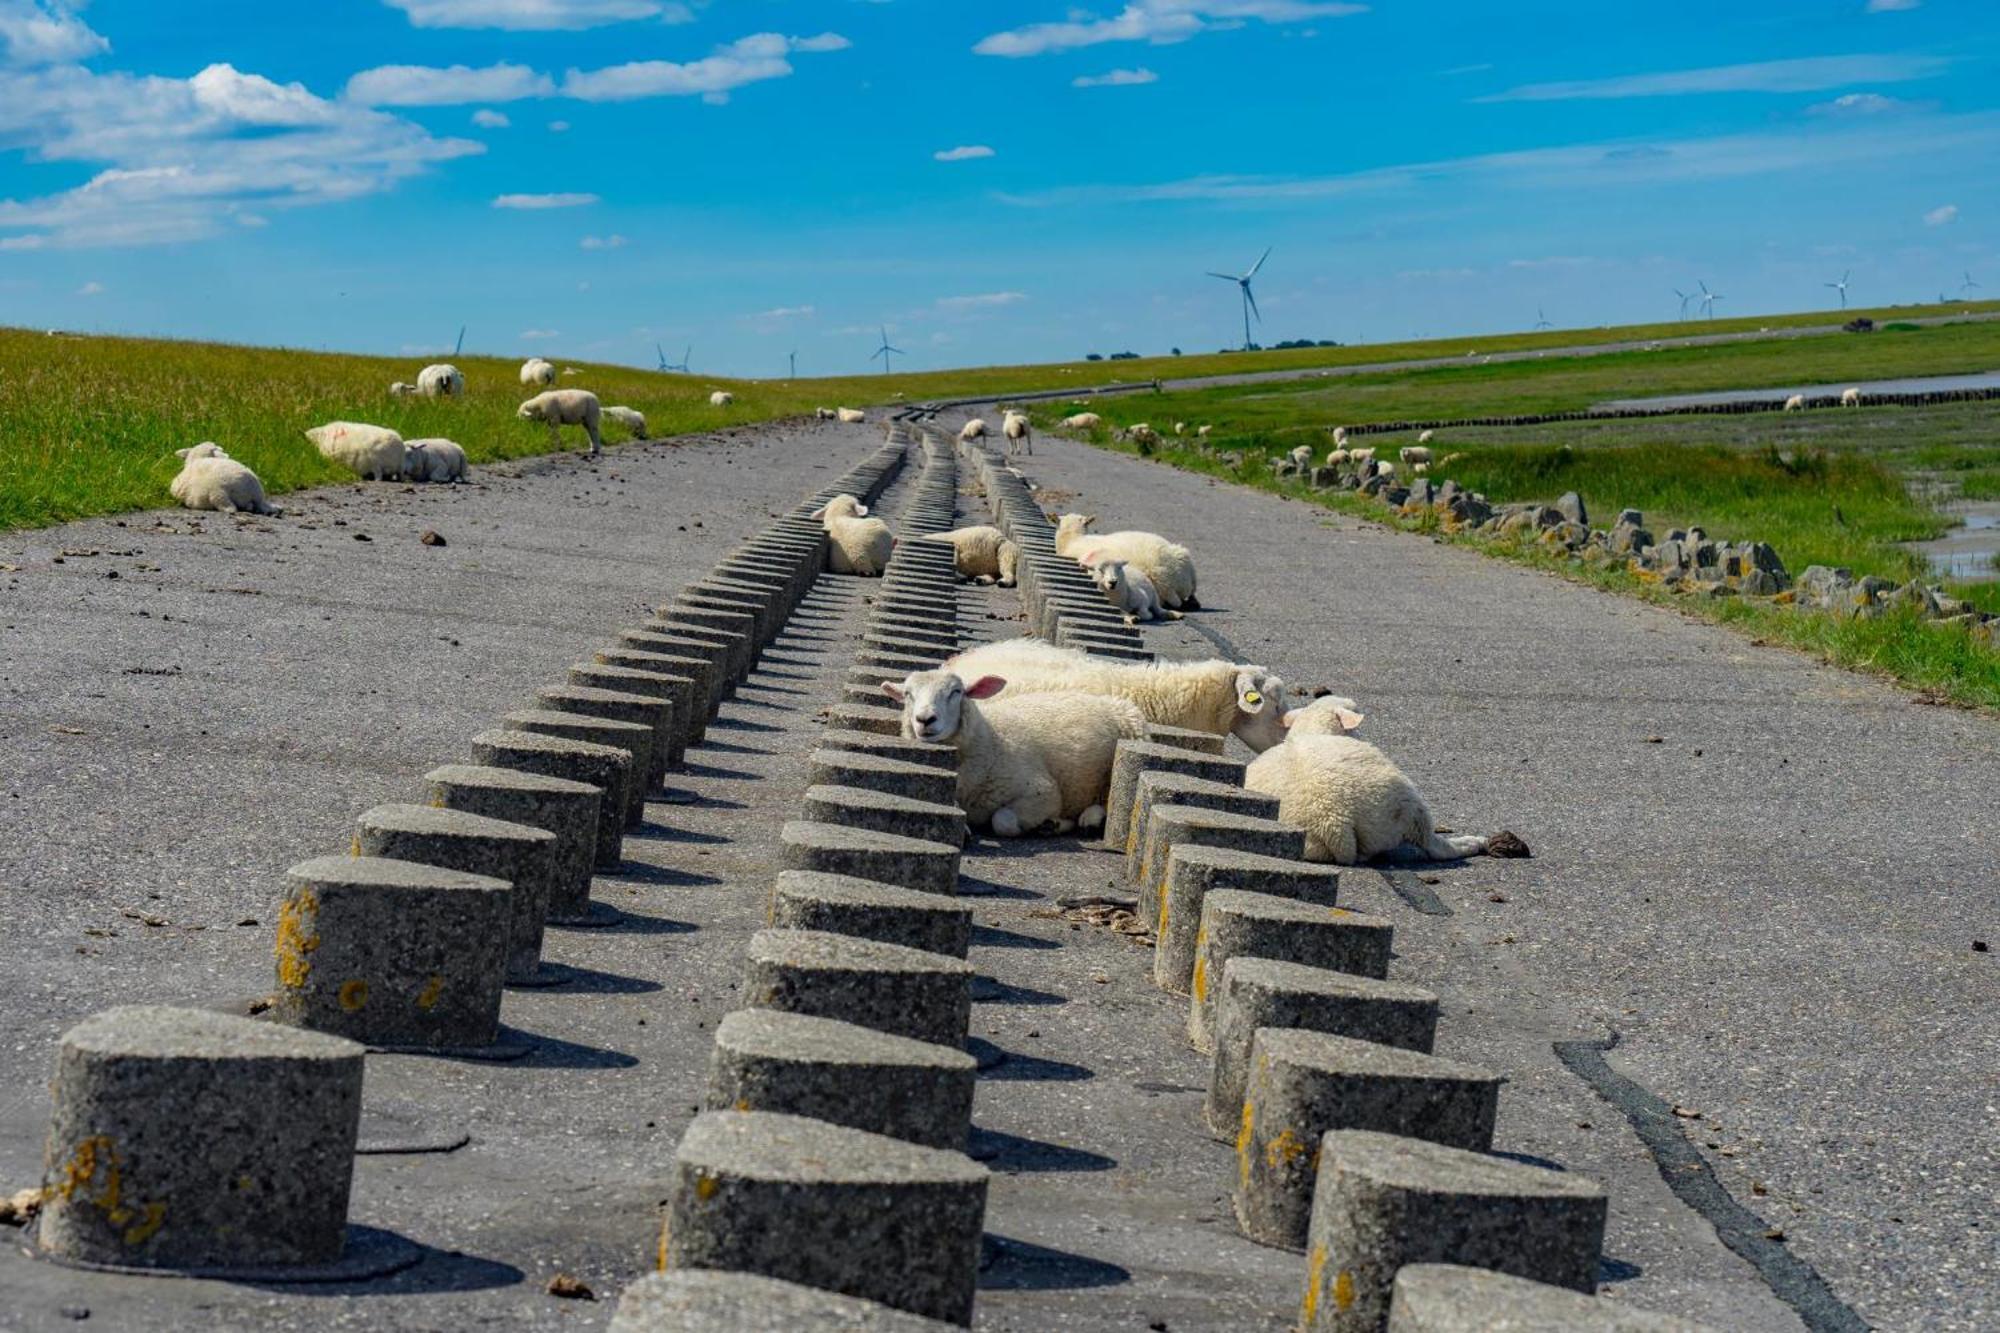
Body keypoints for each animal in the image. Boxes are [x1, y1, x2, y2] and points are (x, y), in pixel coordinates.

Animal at [888, 668, 1152, 836]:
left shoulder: (1043, 792)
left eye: (956, 692)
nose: (925, 720)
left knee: (1112, 798)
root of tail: (1116, 701)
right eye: (908, 694)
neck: (992, 739)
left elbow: (1002, 821)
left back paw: (1090, 819)